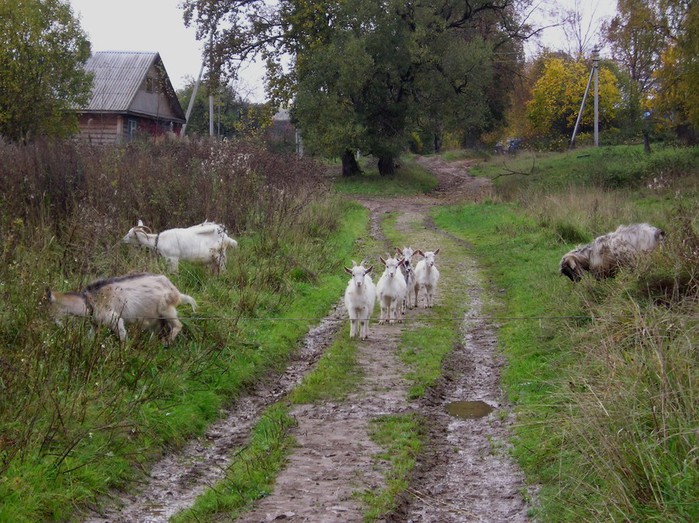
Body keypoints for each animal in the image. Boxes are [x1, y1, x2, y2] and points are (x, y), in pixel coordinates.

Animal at [48, 272, 197, 346]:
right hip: (157, 317)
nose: (55, 324)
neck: (89, 301)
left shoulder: (113, 318)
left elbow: (122, 335)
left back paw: (166, 342)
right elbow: (90, 337)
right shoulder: (96, 324)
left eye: (50, 309)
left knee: (178, 325)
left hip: (166, 309)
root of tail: (176, 292)